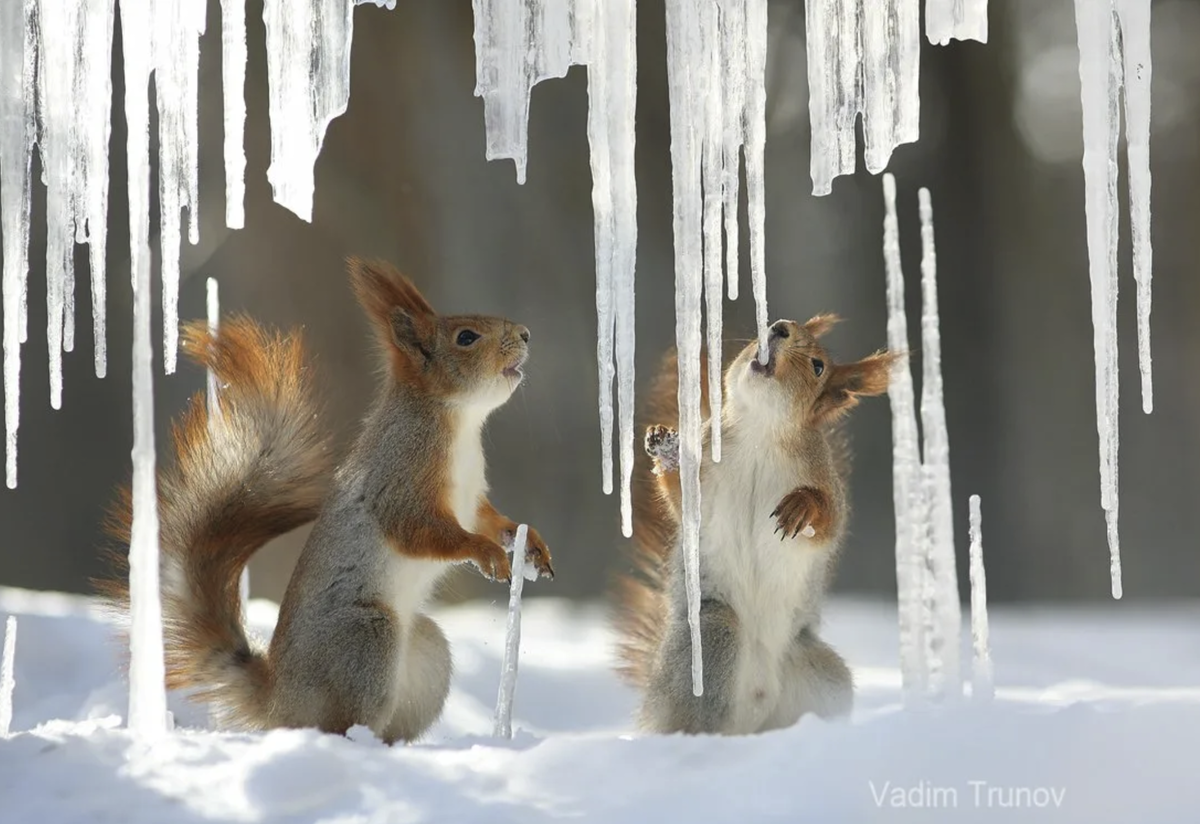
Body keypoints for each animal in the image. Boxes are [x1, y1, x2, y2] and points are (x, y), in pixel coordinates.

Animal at [99, 256, 552, 743]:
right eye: (466, 337)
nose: (526, 333)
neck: (459, 424)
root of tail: (278, 699)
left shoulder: (470, 497)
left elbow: (489, 518)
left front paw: (528, 544)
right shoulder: (400, 477)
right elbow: (417, 529)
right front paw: (485, 552)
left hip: (425, 655)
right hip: (365, 640)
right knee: (337, 723)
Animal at [614, 314, 897, 734]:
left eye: (818, 367)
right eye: (769, 324)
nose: (779, 327)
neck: (760, 432)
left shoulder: (824, 479)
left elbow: (829, 518)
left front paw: (801, 506)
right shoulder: (706, 468)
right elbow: (681, 501)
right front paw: (666, 449)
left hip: (821, 674)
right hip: (711, 637)